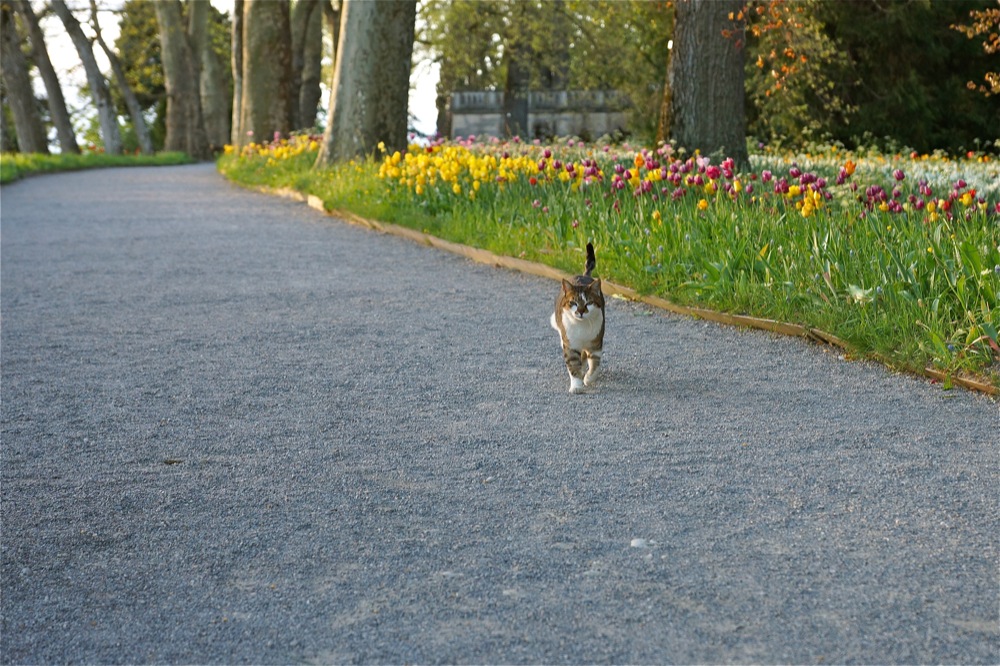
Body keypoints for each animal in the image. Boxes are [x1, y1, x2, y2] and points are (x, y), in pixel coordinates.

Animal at [552, 241, 604, 392]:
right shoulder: (570, 344)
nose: (580, 311)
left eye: (589, 303)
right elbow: (573, 364)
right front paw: (576, 385)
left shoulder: (596, 343)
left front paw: (588, 378)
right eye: (573, 303)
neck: (582, 327)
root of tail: (584, 275)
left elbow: (595, 364)